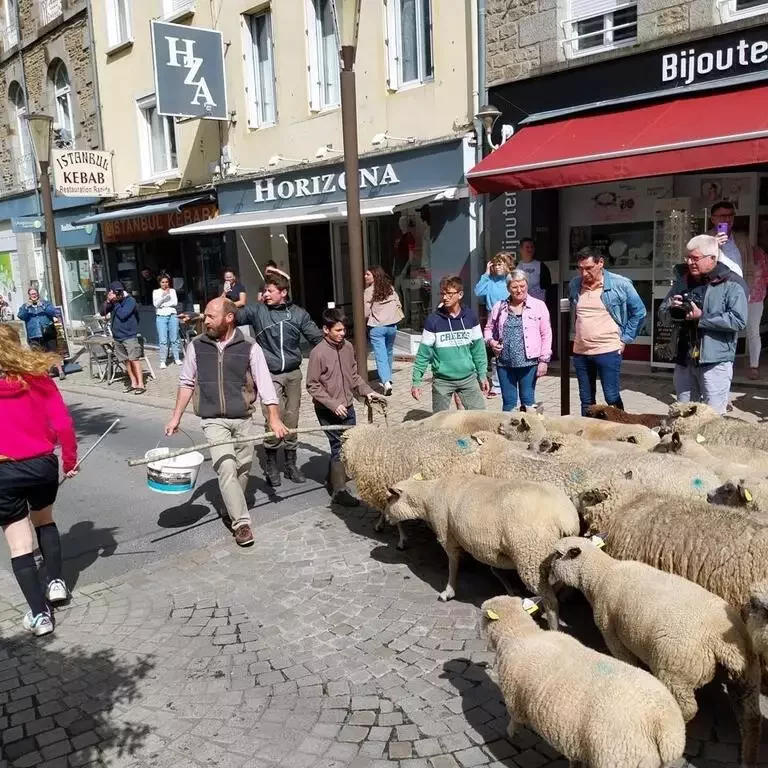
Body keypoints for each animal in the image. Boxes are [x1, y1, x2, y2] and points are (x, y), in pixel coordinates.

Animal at [384, 474, 576, 632]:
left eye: (388, 499)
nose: (385, 518)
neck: (428, 497)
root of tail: (566, 519)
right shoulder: (489, 550)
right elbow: (495, 570)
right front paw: (510, 590)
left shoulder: (448, 536)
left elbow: (453, 564)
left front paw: (448, 592)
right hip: (557, 558)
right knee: (559, 585)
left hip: (531, 556)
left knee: (551, 600)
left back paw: (553, 628)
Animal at [480, 592, 684, 768]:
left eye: (483, 616)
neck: (521, 634)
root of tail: (665, 728)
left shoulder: (513, 697)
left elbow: (514, 720)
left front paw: (510, 733)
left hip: (618, 758)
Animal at [552, 536, 760, 764]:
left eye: (556, 555)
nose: (547, 571)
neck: (602, 574)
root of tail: (721, 643)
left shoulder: (611, 633)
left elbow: (627, 660)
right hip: (746, 674)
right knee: (751, 717)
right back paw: (748, 756)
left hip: (676, 674)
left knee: (688, 709)